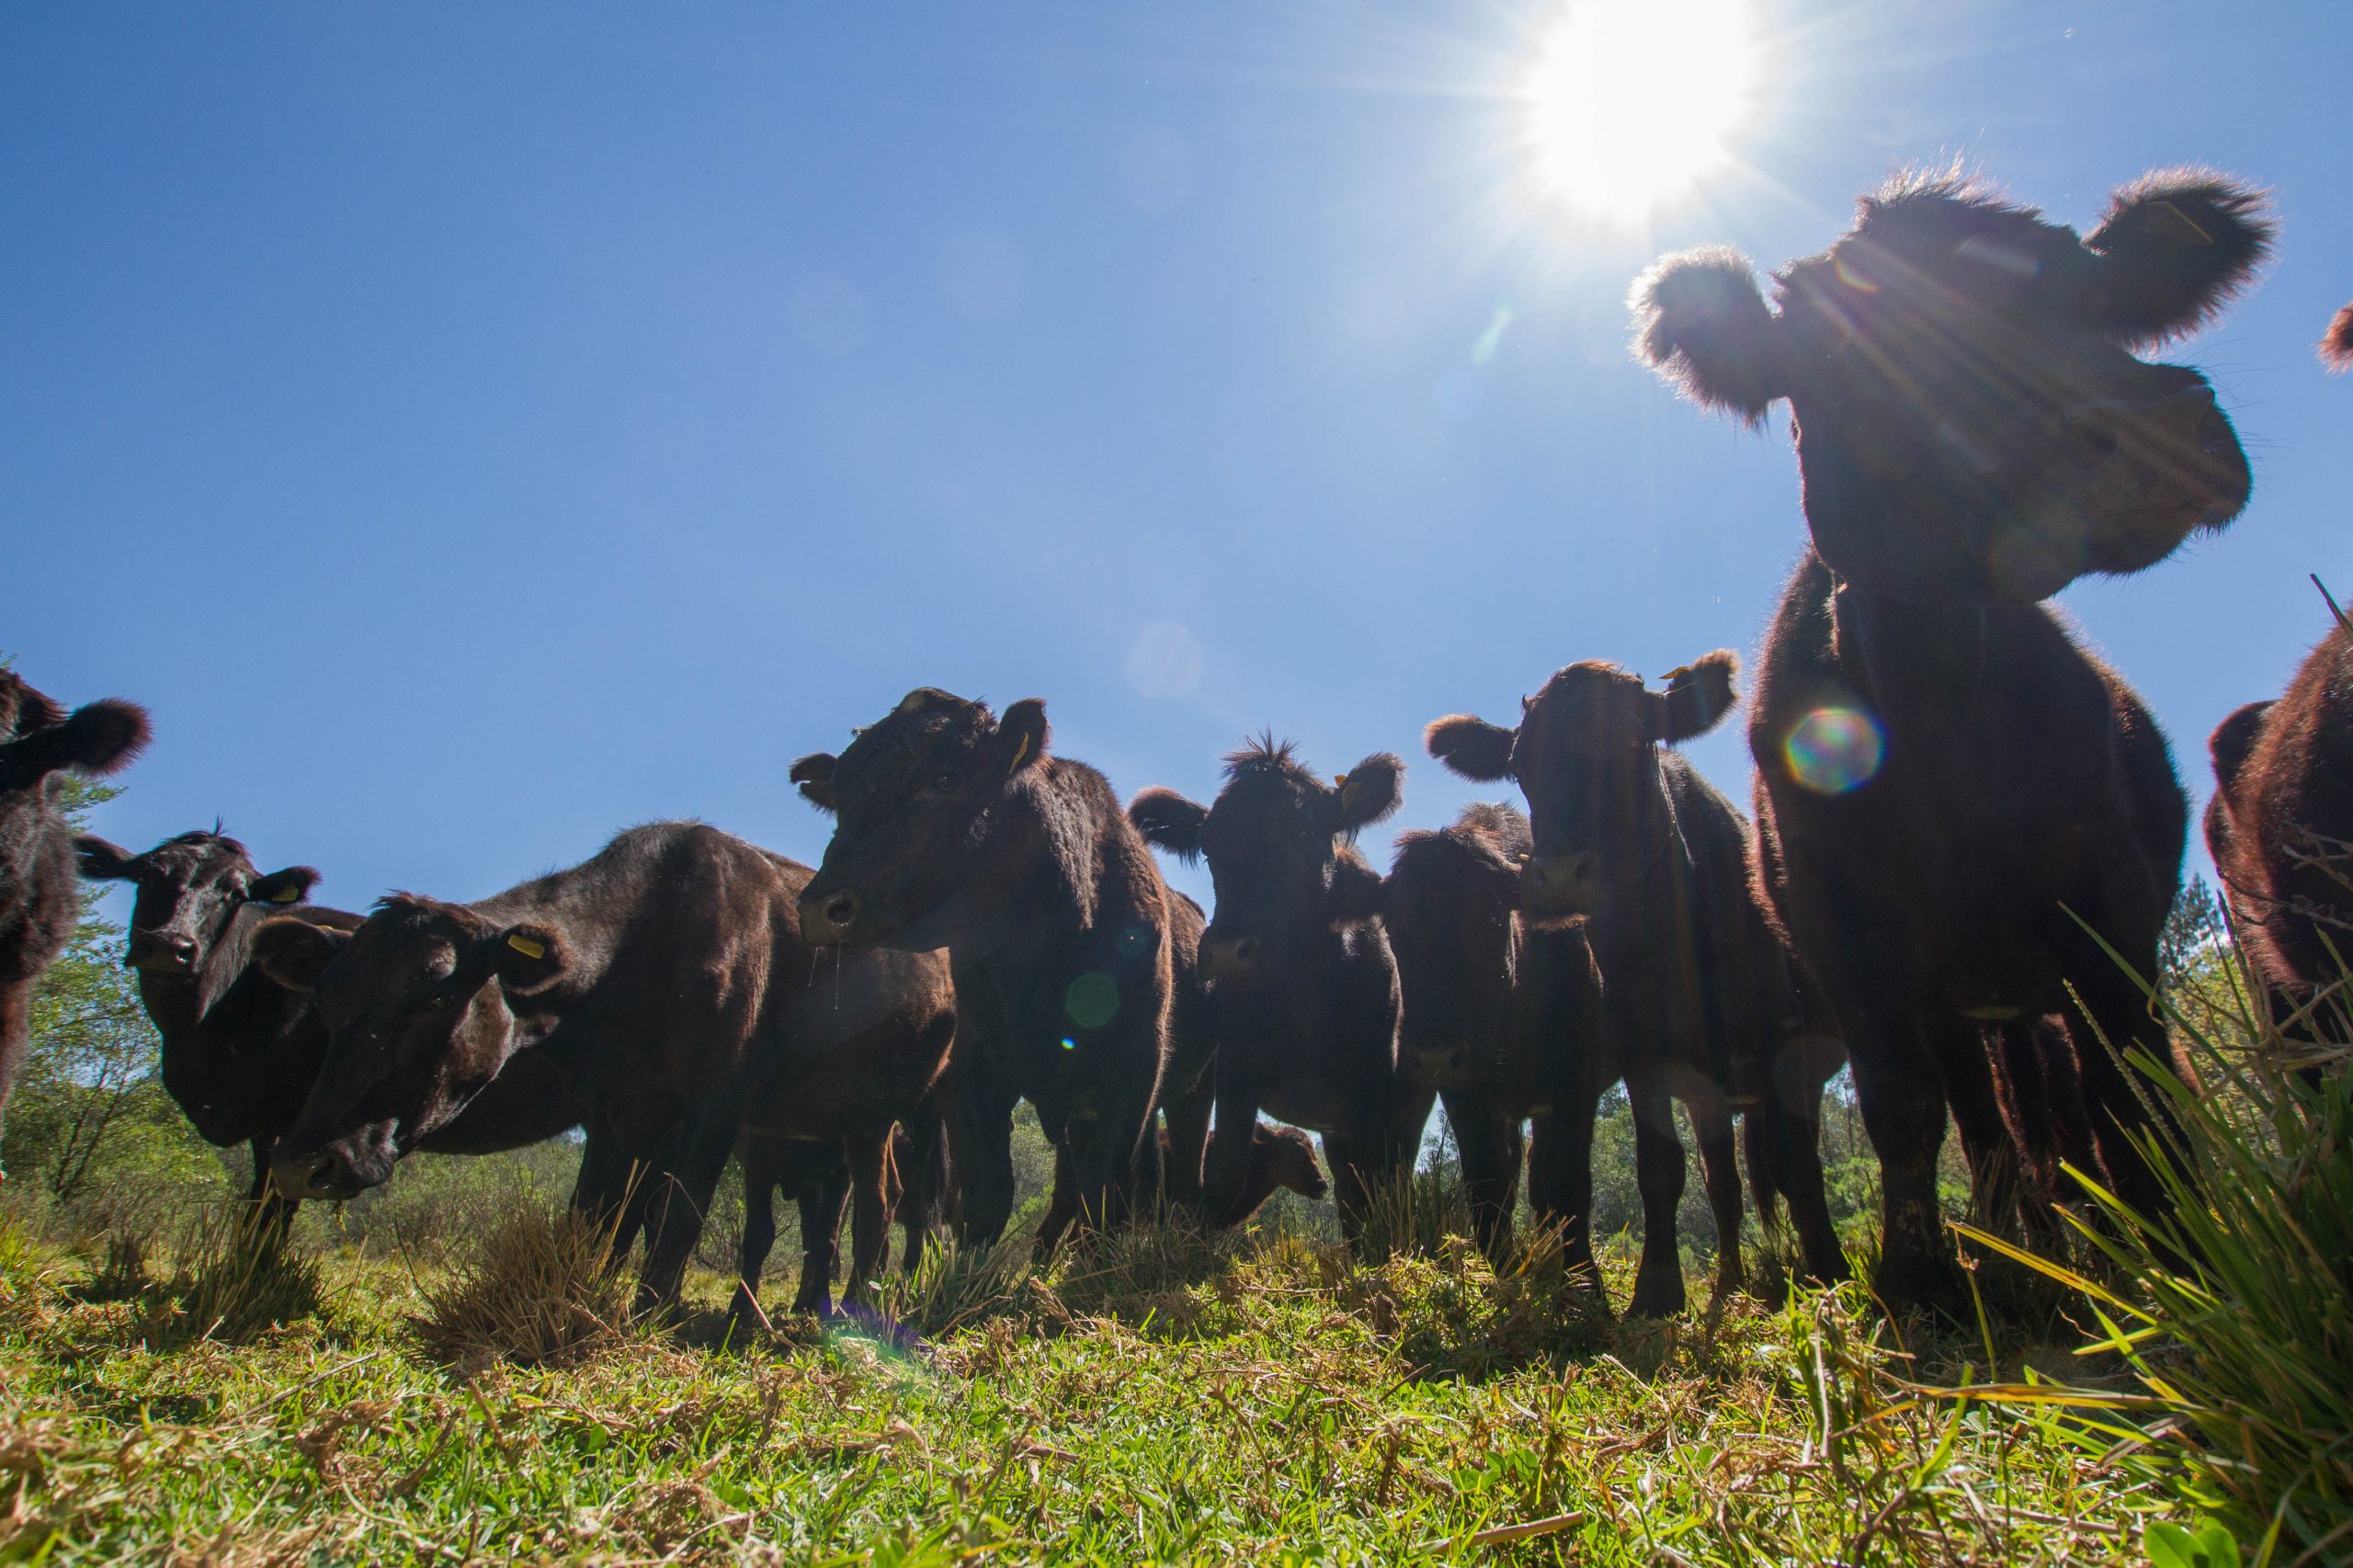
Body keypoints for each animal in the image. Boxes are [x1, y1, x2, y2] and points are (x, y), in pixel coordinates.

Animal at [795, 692, 1176, 1252]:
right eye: (840, 796)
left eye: (945, 777)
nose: (821, 908)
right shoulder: (970, 1068)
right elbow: (985, 1197)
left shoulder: (1134, 1068)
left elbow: (1102, 1195)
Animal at [1129, 739, 1421, 1243]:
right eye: (1208, 848)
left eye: (1303, 834)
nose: (1228, 951)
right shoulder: (1235, 1073)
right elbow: (1224, 1174)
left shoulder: (1374, 1084)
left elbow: (1374, 1185)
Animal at [1421, 659, 1845, 1309]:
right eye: (1520, 767)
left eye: (1633, 743)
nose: (1560, 875)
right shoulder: (1644, 1056)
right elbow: (1660, 1168)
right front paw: (1657, 1292)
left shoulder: (1785, 1044)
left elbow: (1797, 1162)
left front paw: (1831, 1272)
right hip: (1707, 1093)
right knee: (1723, 1183)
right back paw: (1729, 1283)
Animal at [1628, 165, 2268, 1309]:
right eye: (1841, 358)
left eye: (2095, 299)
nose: (2152, 428)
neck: (1934, 717)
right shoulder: (1849, 938)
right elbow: (1902, 1105)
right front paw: (1917, 1275)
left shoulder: (2111, 912)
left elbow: (2131, 1090)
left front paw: (2180, 1256)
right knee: (1988, 1112)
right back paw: (2017, 1246)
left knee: (2069, 1100)